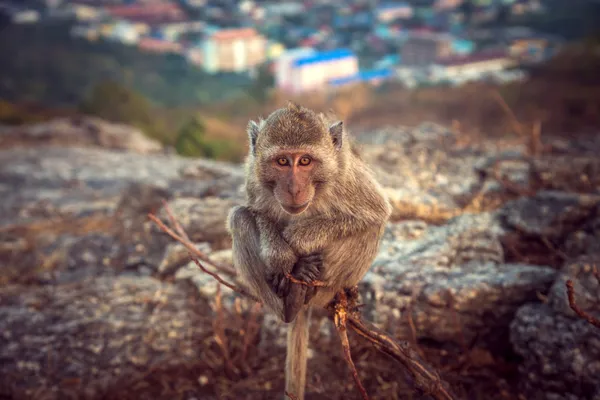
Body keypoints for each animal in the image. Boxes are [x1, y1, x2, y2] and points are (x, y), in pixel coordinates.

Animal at [227, 102, 392, 400]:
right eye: (282, 162)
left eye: (305, 161)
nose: (294, 189)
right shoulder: (253, 178)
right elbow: (256, 212)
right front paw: (280, 254)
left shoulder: (348, 178)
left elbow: (373, 213)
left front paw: (299, 237)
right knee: (239, 217)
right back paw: (289, 301)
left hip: (329, 285)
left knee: (369, 228)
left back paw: (315, 287)